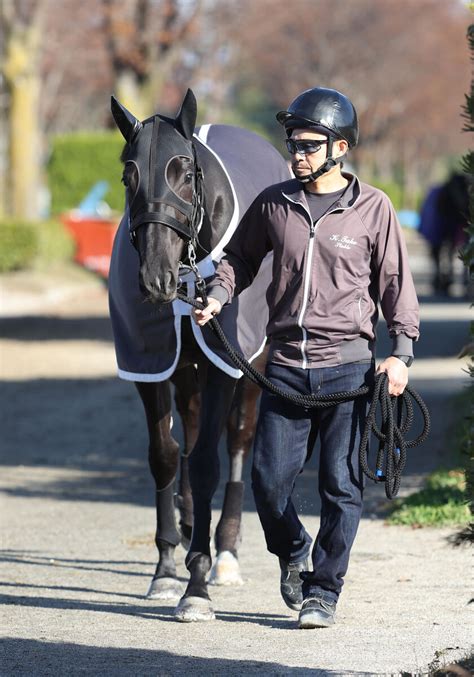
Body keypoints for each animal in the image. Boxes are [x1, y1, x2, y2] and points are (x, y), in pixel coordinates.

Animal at [110, 87, 288, 620]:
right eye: (128, 174)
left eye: (184, 173)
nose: (156, 280)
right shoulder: (149, 362)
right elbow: (166, 456)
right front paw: (168, 568)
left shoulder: (223, 361)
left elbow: (209, 459)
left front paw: (198, 584)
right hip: (186, 368)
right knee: (187, 433)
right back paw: (191, 525)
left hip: (251, 361)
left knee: (238, 438)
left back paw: (225, 553)